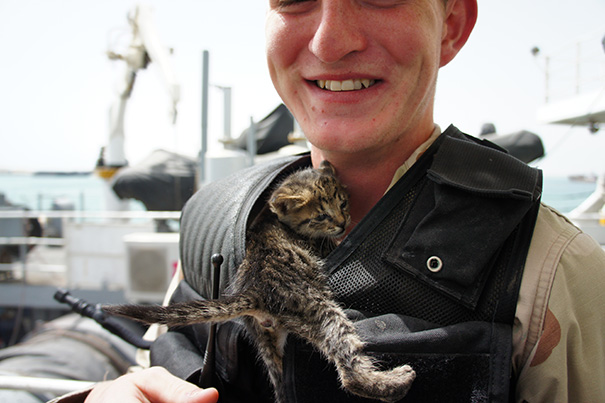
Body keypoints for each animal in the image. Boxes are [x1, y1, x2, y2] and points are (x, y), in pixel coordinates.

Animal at [105, 162, 416, 403]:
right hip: (320, 308)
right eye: (320, 216)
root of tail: (255, 289)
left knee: (280, 385)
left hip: (266, 343)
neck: (274, 219)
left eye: (343, 203)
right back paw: (394, 381)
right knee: (347, 367)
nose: (342, 223)